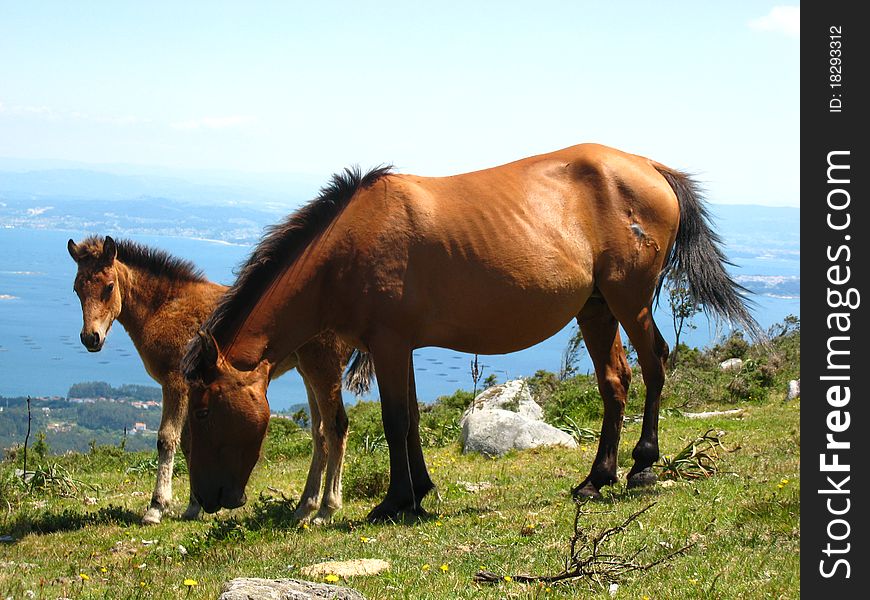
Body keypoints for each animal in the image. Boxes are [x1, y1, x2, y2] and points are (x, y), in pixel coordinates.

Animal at [65, 237, 372, 524]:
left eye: (109, 286)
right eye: (77, 288)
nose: (90, 338)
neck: (163, 307)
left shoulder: (175, 382)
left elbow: (167, 439)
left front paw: (156, 508)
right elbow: (190, 441)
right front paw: (194, 506)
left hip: (323, 367)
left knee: (336, 428)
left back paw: (326, 509)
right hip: (308, 371)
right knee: (320, 433)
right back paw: (304, 507)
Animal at [184, 144, 764, 520]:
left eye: (205, 411)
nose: (207, 499)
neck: (345, 246)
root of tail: (651, 167)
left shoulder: (388, 344)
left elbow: (395, 422)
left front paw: (394, 502)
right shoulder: (400, 346)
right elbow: (412, 421)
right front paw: (419, 493)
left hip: (630, 300)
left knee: (656, 362)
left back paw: (642, 467)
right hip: (597, 308)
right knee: (615, 382)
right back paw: (594, 480)